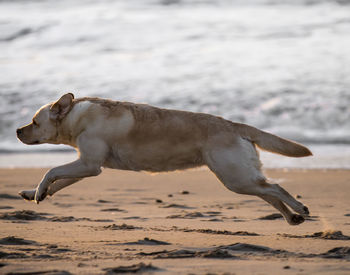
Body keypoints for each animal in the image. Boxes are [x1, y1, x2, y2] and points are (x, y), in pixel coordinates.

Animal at [16, 94, 312, 225]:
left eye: (34, 122)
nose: (18, 130)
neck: (76, 118)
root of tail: (234, 125)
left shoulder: (89, 165)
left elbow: (51, 170)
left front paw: (39, 190)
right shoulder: (87, 166)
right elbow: (57, 180)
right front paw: (36, 193)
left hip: (235, 177)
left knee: (275, 188)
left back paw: (299, 207)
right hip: (240, 177)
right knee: (268, 192)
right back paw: (292, 217)